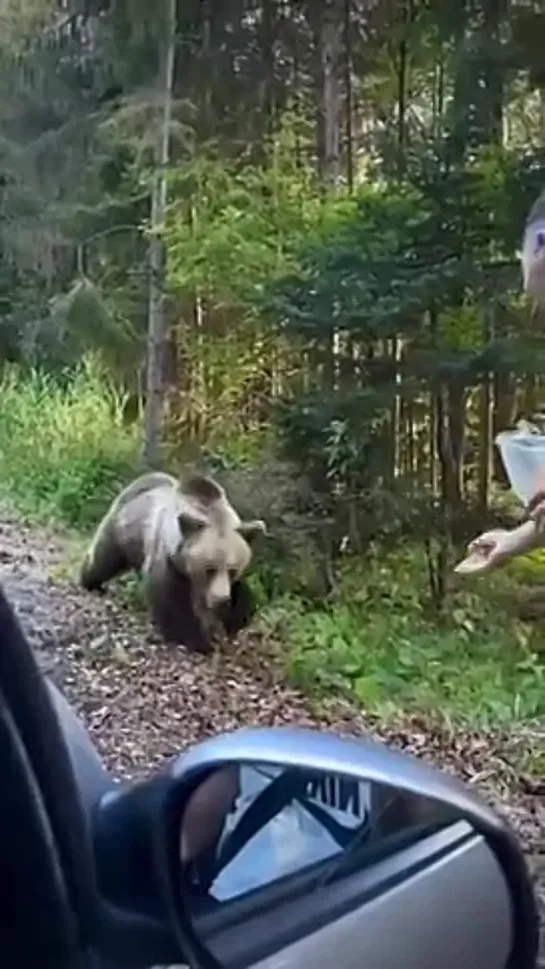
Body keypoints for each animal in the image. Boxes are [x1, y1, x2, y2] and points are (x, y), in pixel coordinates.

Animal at [80, 470, 266, 656]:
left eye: (233, 570)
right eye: (209, 569)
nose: (221, 599)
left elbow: (240, 596)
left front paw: (234, 622)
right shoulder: (169, 560)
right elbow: (172, 603)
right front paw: (198, 640)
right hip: (123, 529)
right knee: (103, 558)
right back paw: (89, 582)